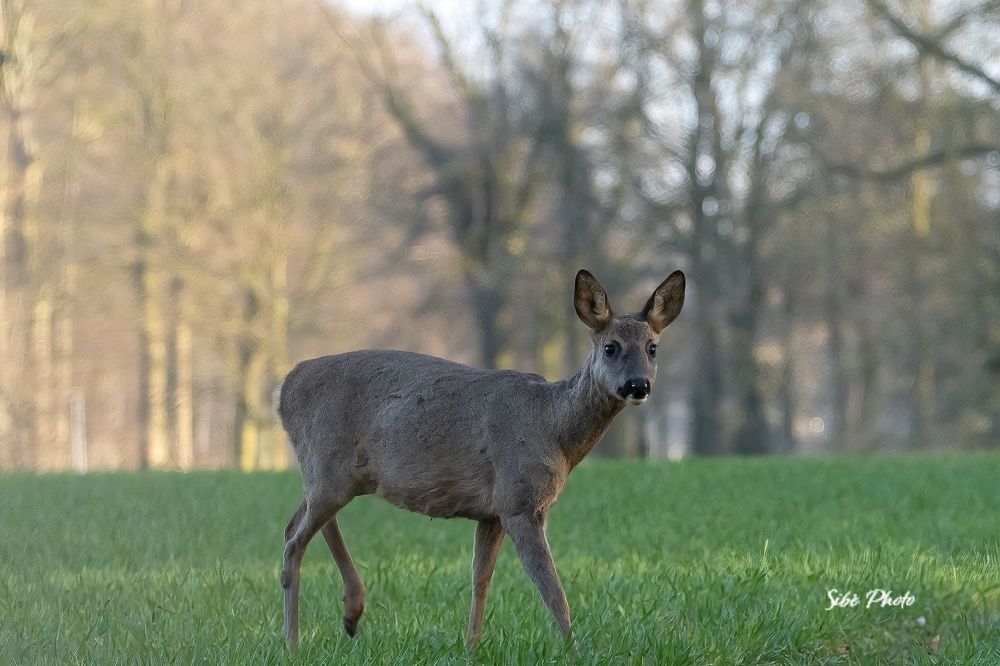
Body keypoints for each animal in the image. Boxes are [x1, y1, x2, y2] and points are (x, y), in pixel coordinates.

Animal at [277, 268, 685, 647]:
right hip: (328, 465)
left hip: (333, 472)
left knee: (298, 523)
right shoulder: (519, 500)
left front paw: (471, 647)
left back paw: (351, 613)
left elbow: (480, 580)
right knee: (294, 542)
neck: (552, 427)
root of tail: (285, 387)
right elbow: (553, 591)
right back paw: (294, 642)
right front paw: (575, 651)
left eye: (653, 347)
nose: (638, 385)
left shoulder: (491, 511)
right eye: (611, 347)